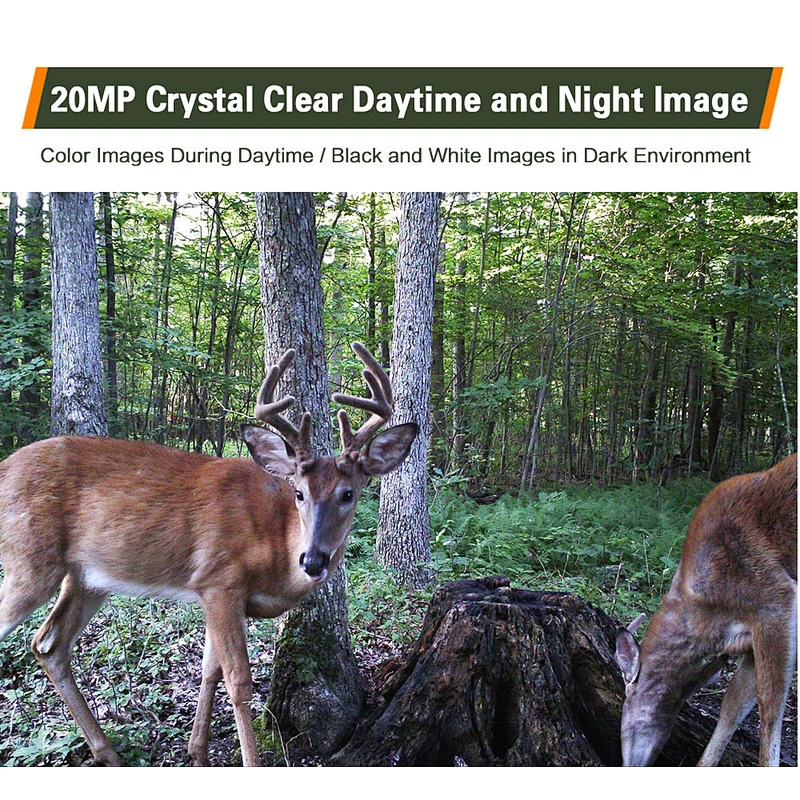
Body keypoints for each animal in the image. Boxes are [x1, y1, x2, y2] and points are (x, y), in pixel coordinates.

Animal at [0, 342, 417, 767]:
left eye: (348, 494)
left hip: (86, 579)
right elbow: (238, 681)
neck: (276, 548)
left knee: (49, 645)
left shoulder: (220, 595)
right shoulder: (219, 579)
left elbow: (209, 671)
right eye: (299, 493)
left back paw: (108, 753)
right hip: (29, 562)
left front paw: (196, 752)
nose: (314, 560)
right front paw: (248, 762)